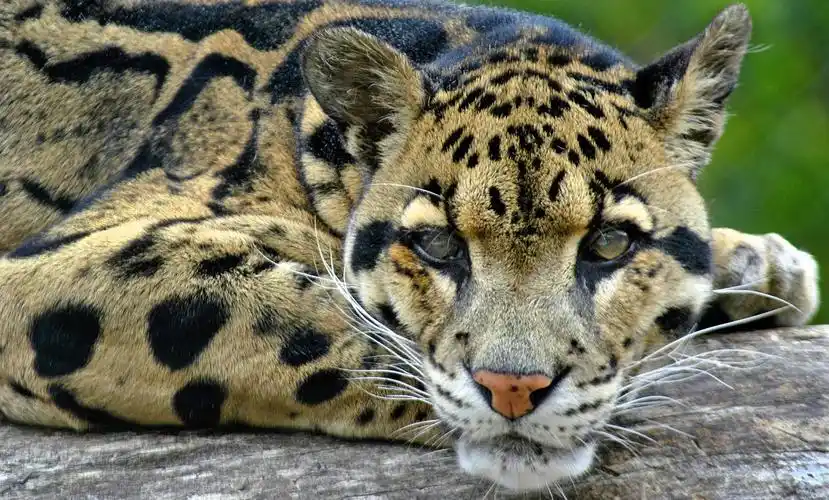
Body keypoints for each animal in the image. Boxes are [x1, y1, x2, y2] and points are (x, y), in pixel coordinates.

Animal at [0, 0, 820, 493]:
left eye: (611, 243)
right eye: (435, 246)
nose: (513, 389)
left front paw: (759, 265)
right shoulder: (48, 269)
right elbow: (313, 320)